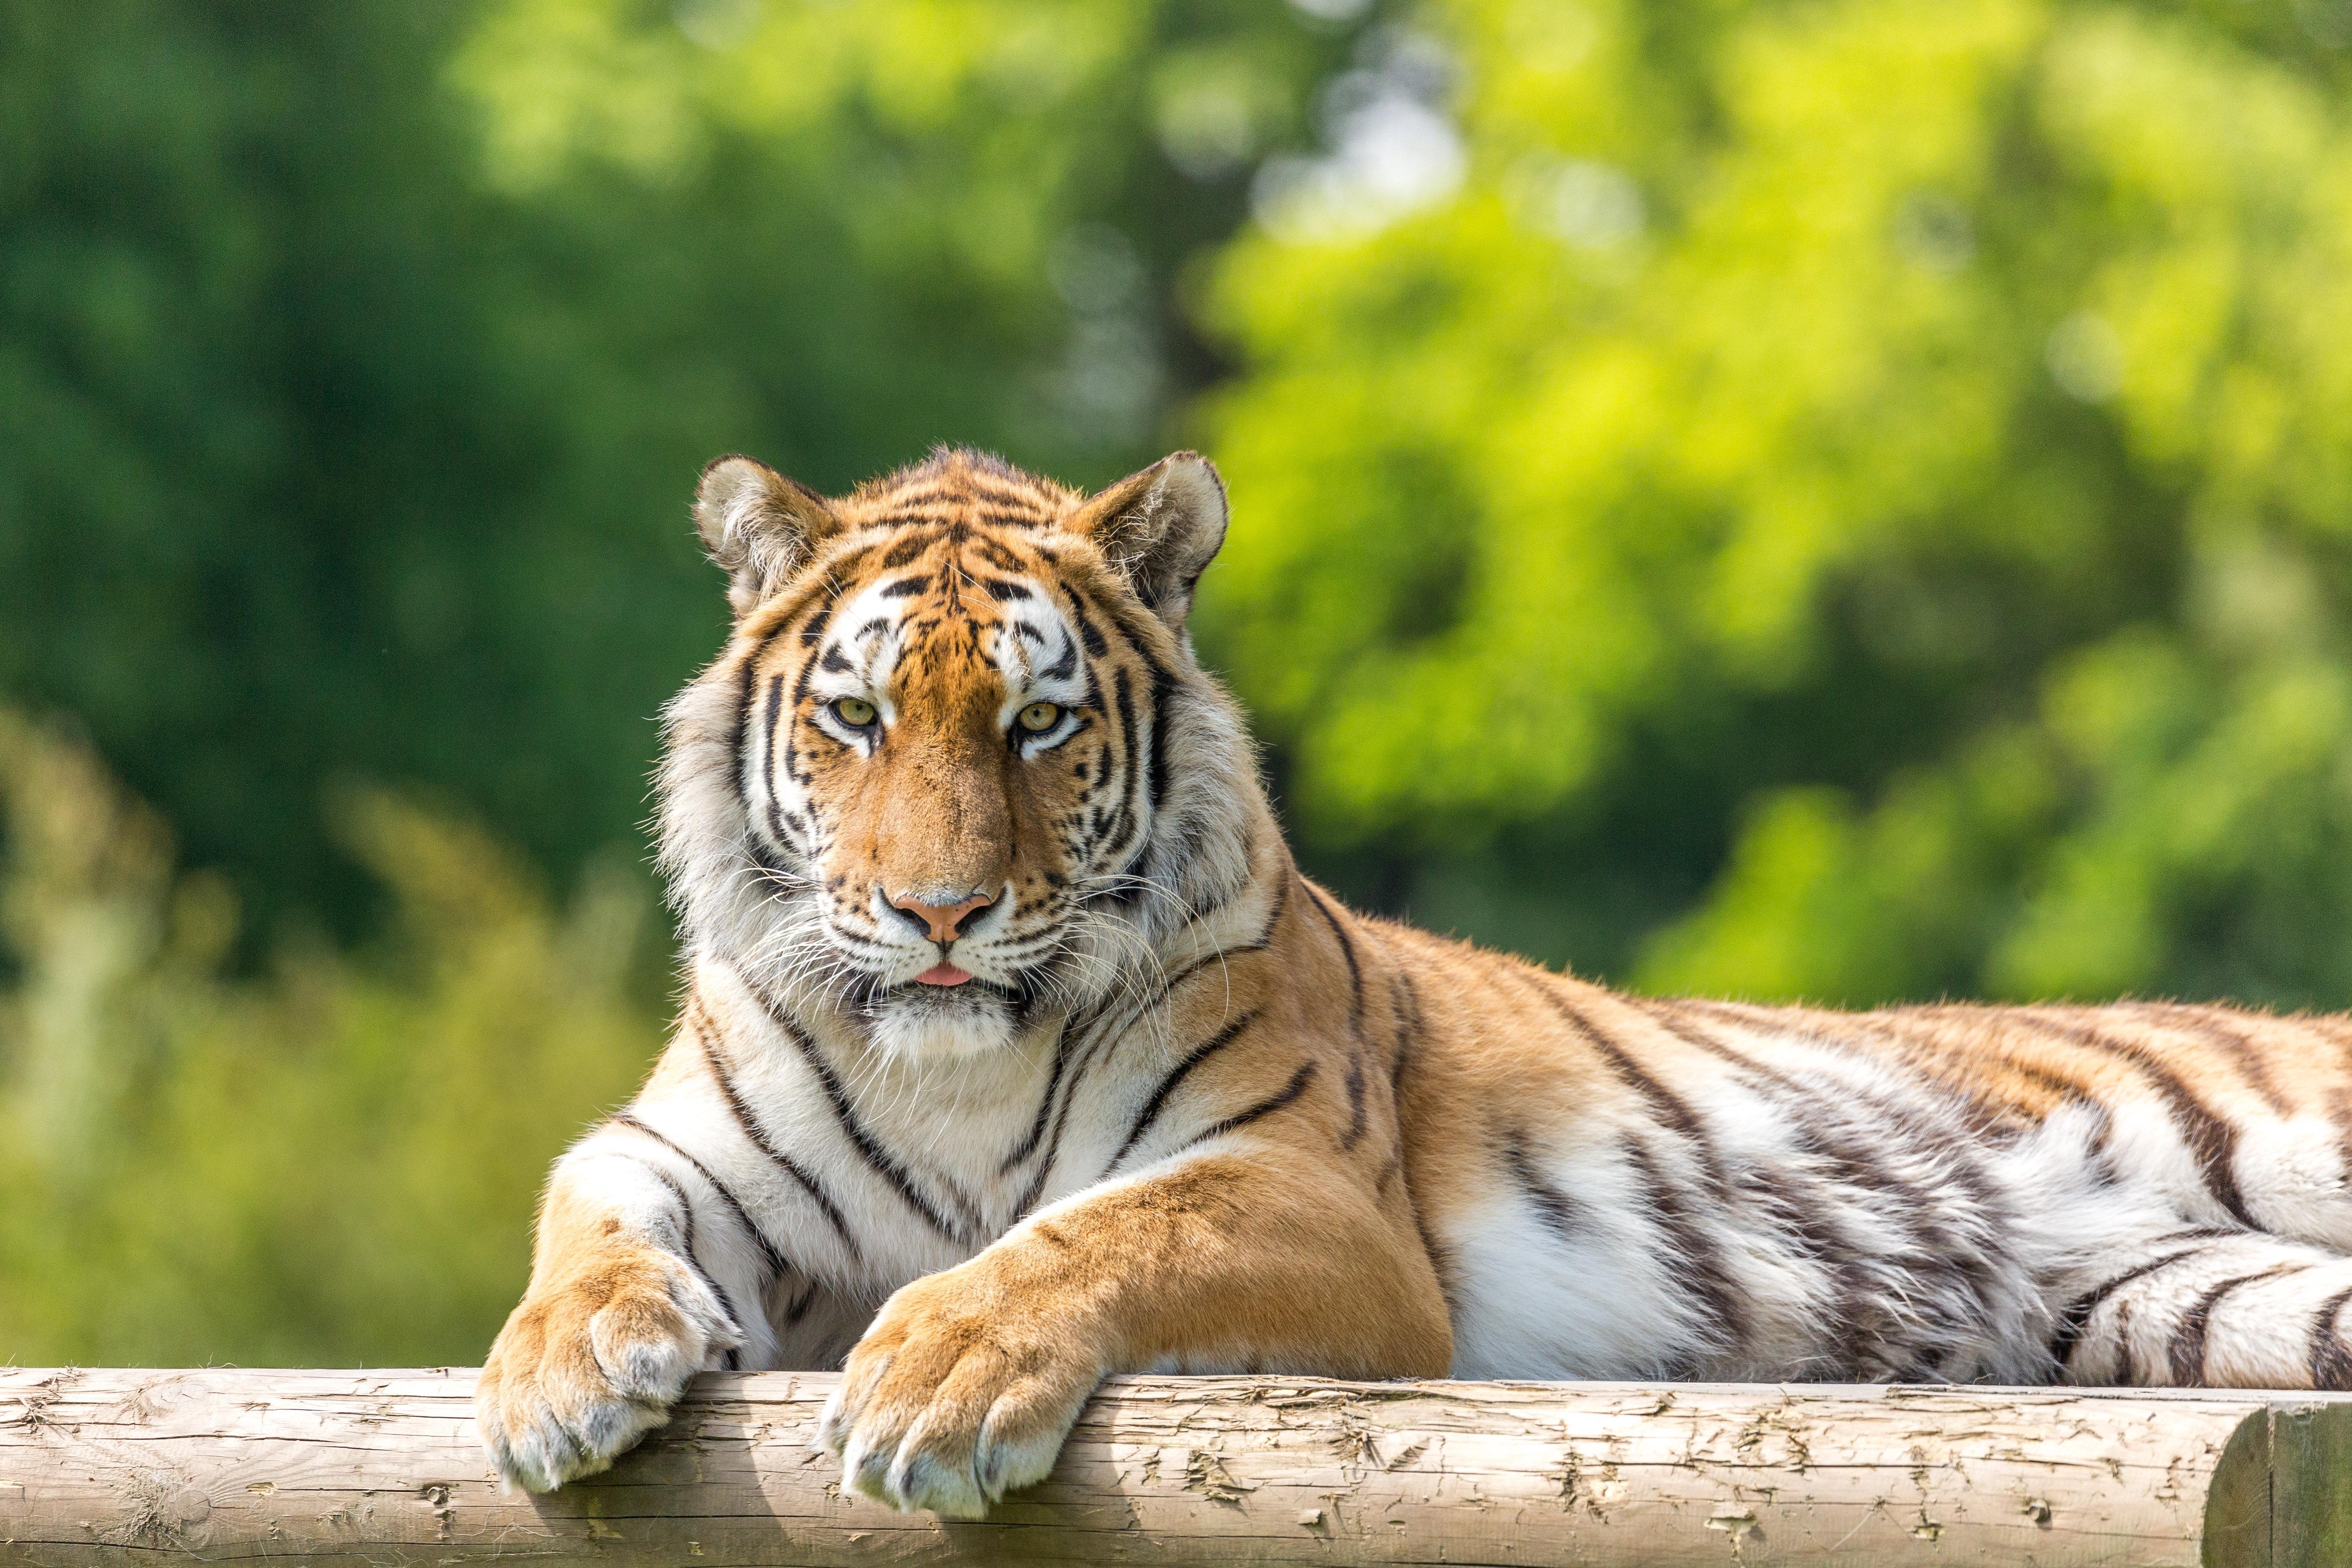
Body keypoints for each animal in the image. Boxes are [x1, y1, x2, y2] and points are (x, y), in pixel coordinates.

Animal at [477, 444, 2352, 1523]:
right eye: (857, 719)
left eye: (1040, 720)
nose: (938, 914)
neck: (953, 1057)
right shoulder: (686, 1146)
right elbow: (584, 1209)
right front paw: (559, 1376)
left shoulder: (1308, 1190)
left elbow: (1090, 1232)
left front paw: (936, 1370)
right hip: (2204, 1301)